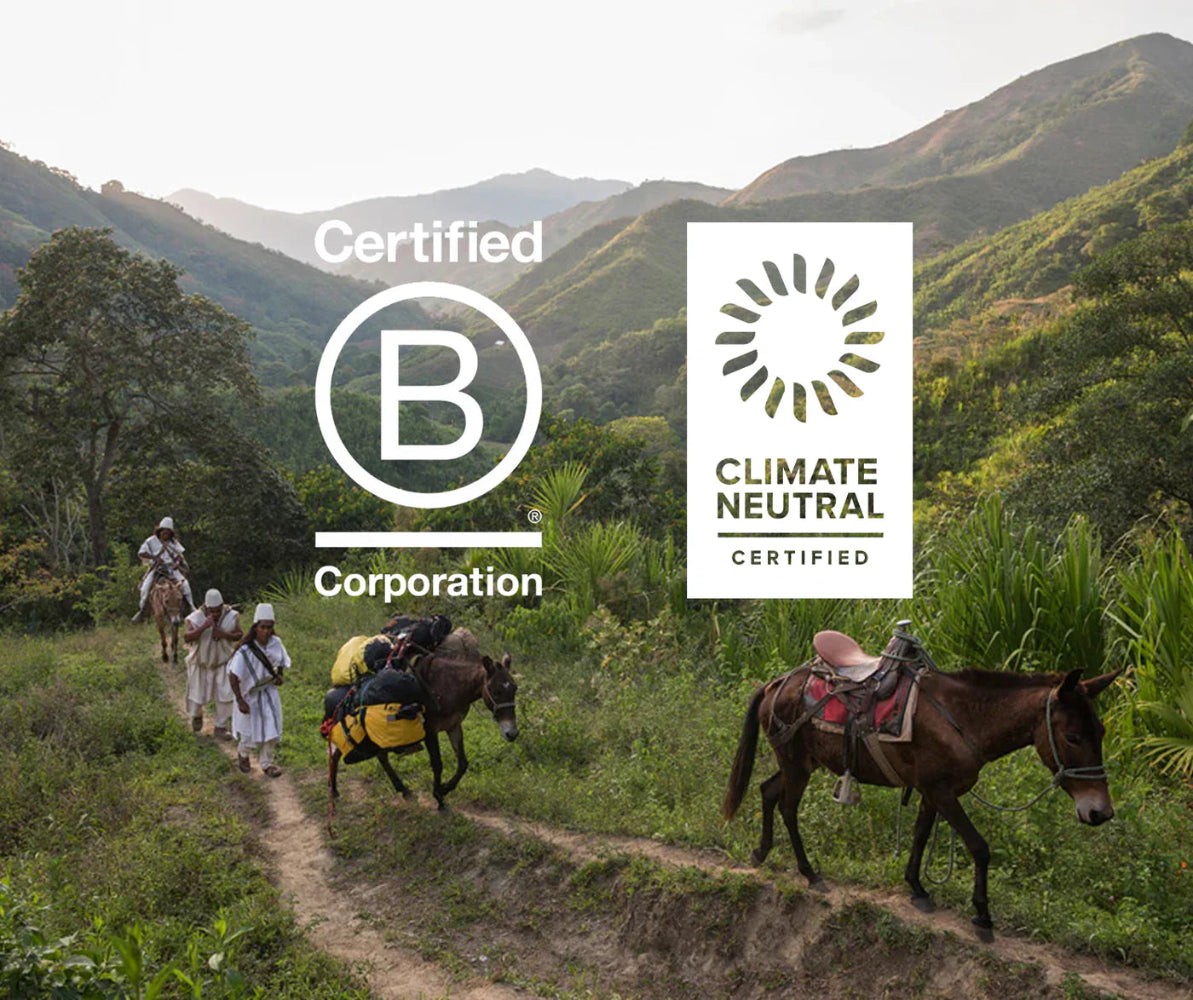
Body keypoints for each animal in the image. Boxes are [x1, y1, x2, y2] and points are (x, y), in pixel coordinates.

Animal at [327, 628, 518, 811]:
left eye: (515, 689)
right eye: (495, 691)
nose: (512, 733)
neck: (448, 687)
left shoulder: (454, 726)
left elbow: (463, 763)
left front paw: (445, 788)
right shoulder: (430, 731)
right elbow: (437, 763)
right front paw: (439, 797)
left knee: (375, 755)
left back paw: (401, 790)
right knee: (343, 751)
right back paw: (334, 790)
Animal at [722, 633, 1119, 937]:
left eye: (1100, 732)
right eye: (1072, 736)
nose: (1099, 811)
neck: (963, 718)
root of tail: (777, 683)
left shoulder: (932, 791)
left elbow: (920, 835)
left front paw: (916, 887)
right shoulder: (942, 792)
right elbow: (979, 847)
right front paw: (982, 916)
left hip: (800, 763)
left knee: (767, 792)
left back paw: (761, 852)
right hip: (795, 764)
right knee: (788, 806)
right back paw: (809, 872)